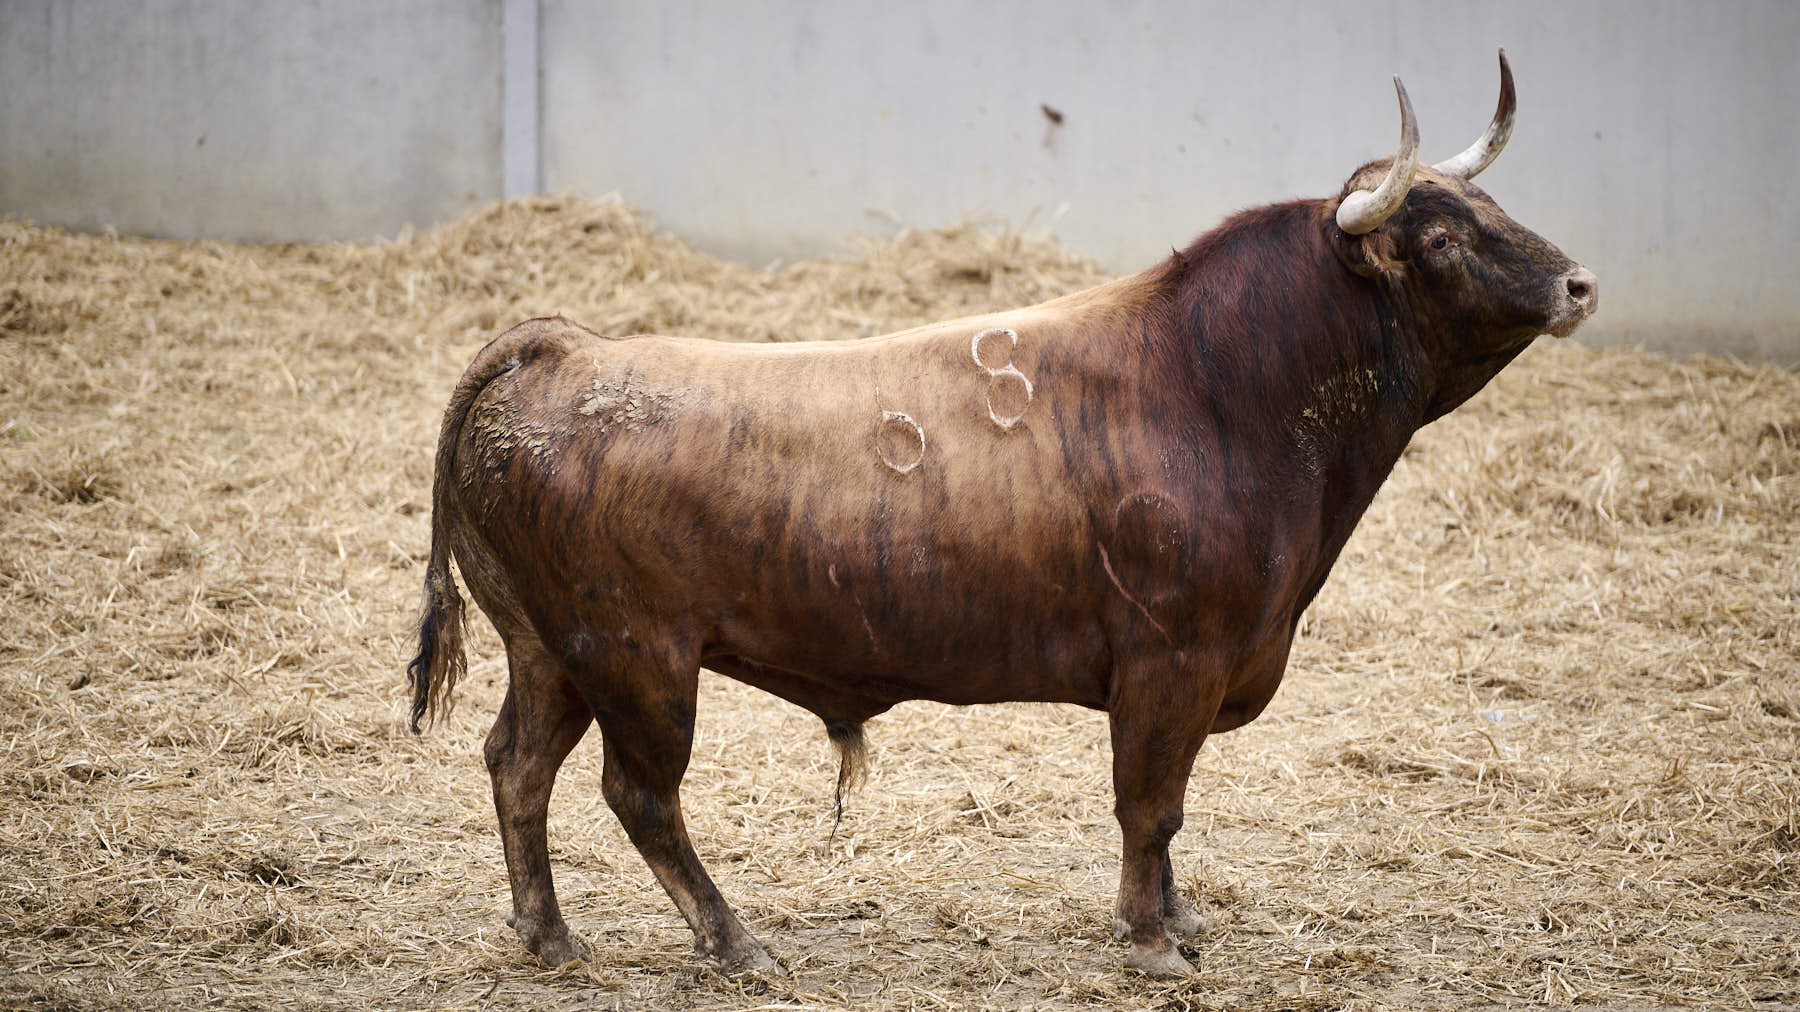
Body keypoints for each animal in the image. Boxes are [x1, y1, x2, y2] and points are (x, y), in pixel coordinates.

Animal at [412, 51, 1605, 972]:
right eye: (1440, 239)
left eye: (1492, 209)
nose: (1580, 284)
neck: (1222, 386)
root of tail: (562, 347)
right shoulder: (1171, 665)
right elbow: (1150, 805)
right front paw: (1151, 942)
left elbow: (1167, 815)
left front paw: (1177, 919)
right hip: (636, 658)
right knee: (639, 794)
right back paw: (734, 941)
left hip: (551, 652)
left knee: (517, 762)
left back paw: (549, 936)